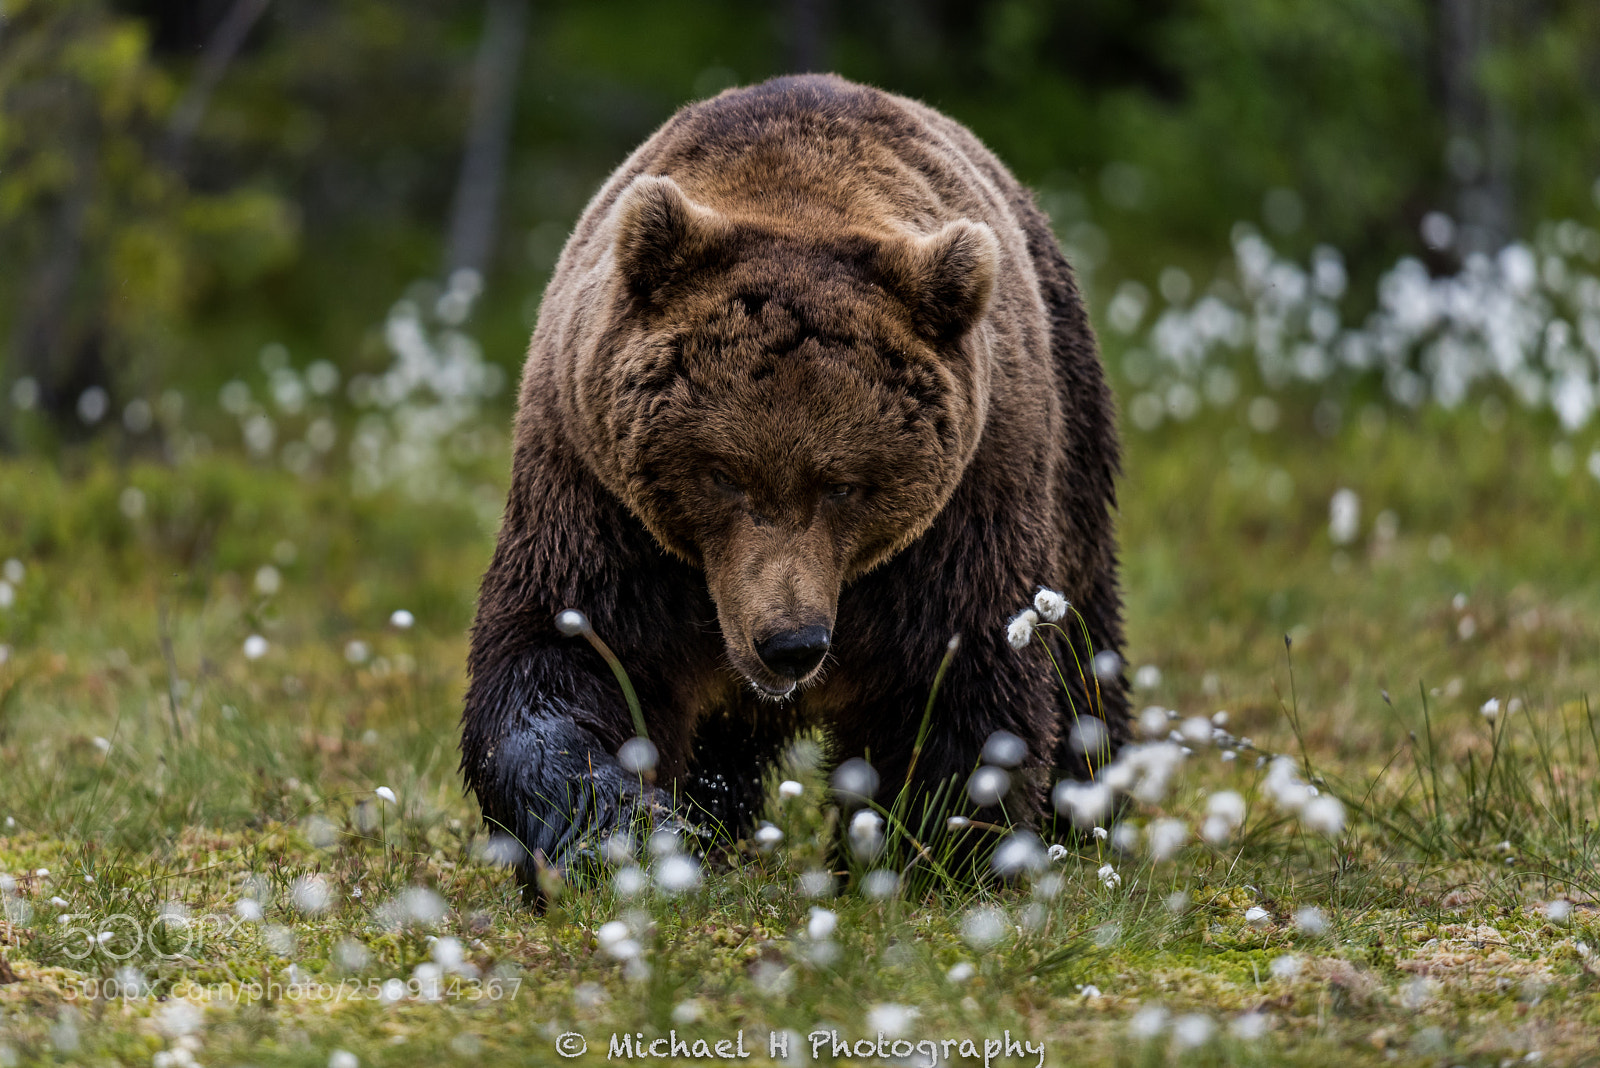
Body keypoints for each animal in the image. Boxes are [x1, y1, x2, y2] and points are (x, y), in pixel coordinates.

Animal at [461, 74, 1128, 890]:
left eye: (845, 484)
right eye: (722, 473)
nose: (790, 643)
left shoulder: (962, 513)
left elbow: (957, 687)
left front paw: (930, 855)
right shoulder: (599, 494)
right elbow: (567, 660)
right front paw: (621, 835)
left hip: (1072, 438)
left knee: (1086, 652)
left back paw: (1091, 811)